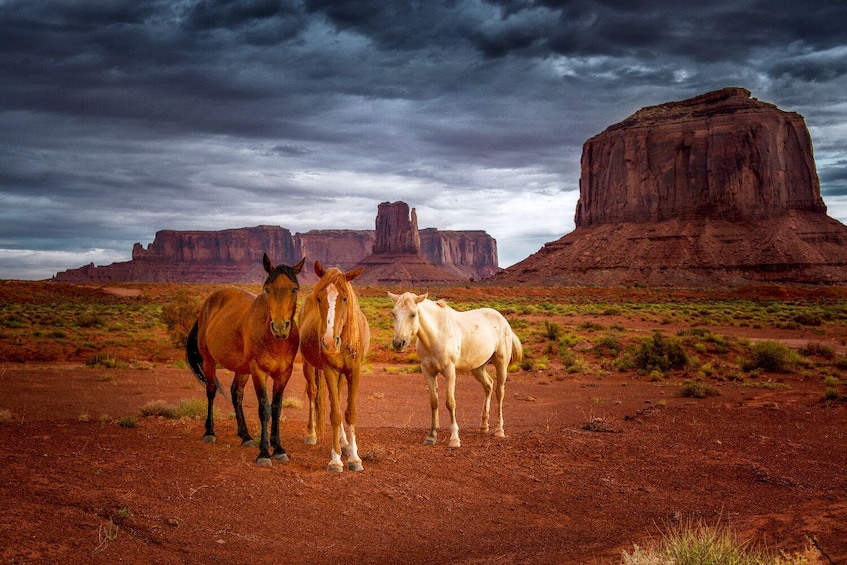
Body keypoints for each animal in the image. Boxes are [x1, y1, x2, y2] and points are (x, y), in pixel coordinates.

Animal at [187, 253, 306, 464]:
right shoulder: (259, 371)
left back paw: (246, 436)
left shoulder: (284, 373)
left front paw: (279, 448)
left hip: (242, 369)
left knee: (236, 393)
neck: (275, 341)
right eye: (267, 289)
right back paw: (210, 432)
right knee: (211, 390)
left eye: (294, 289)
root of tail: (205, 307)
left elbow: (277, 408)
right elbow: (264, 408)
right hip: (209, 361)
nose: (280, 328)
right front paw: (264, 453)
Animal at [302, 262, 374, 472]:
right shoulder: (329, 370)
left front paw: (354, 457)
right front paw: (335, 459)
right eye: (319, 298)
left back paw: (344, 442)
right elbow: (335, 414)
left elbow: (349, 413)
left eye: (345, 298)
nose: (328, 343)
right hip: (308, 366)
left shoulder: (354, 371)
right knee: (312, 392)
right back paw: (311, 434)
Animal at [390, 294, 524, 448]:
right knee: (489, 385)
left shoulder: (450, 371)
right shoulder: (428, 371)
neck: (435, 335)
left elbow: (450, 402)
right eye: (393, 313)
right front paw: (432, 436)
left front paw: (454, 438)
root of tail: (503, 319)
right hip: (478, 367)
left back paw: (499, 430)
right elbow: (434, 402)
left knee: (499, 392)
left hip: (501, 364)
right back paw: (484, 426)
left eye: (413, 314)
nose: (398, 343)